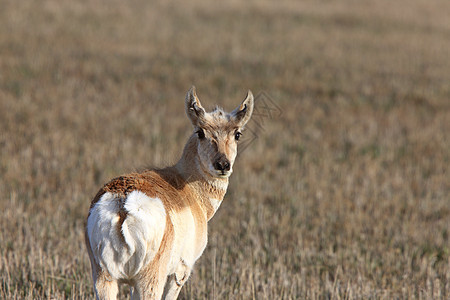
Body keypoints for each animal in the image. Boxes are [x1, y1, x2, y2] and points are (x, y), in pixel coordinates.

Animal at [84, 86, 253, 298]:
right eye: (200, 132)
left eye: (237, 134)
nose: (223, 164)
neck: (186, 184)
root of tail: (123, 203)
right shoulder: (180, 274)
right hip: (150, 280)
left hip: (104, 279)